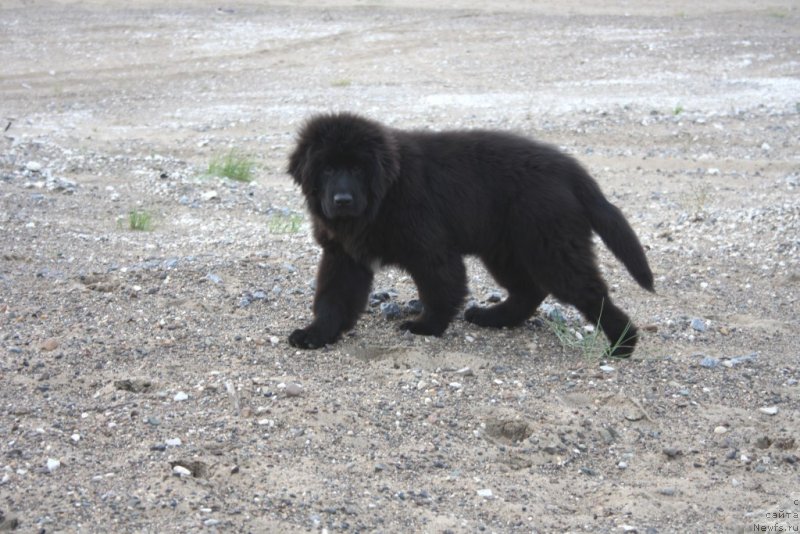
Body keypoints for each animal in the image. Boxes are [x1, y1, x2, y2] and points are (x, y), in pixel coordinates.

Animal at [286, 111, 648, 358]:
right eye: (328, 169)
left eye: (359, 169)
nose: (342, 200)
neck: (384, 196)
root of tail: (570, 169)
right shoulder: (343, 255)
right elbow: (333, 298)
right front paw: (317, 333)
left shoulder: (430, 249)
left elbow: (440, 291)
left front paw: (426, 327)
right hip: (505, 250)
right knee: (529, 290)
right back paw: (494, 318)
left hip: (549, 245)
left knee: (588, 291)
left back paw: (622, 344)